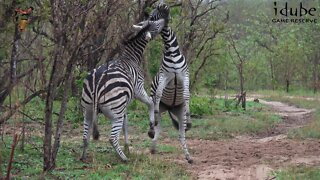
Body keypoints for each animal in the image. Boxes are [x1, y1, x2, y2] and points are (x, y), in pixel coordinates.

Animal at [80, 17, 168, 162]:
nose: (164, 19)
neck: (130, 57)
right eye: (154, 25)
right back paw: (124, 158)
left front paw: (127, 146)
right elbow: (150, 102)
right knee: (112, 138)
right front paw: (151, 129)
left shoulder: (124, 104)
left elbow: (126, 122)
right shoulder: (138, 89)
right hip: (115, 113)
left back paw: (83, 156)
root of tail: (98, 82)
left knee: (85, 137)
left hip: (89, 110)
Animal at [148, 3, 192, 163]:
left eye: (152, 17)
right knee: (157, 126)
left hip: (178, 112)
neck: (172, 52)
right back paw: (152, 141)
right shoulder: (164, 76)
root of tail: (169, 108)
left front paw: (190, 116)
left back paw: (188, 156)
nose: (145, 33)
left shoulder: (184, 76)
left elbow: (186, 95)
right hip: (160, 109)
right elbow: (159, 93)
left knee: (181, 134)